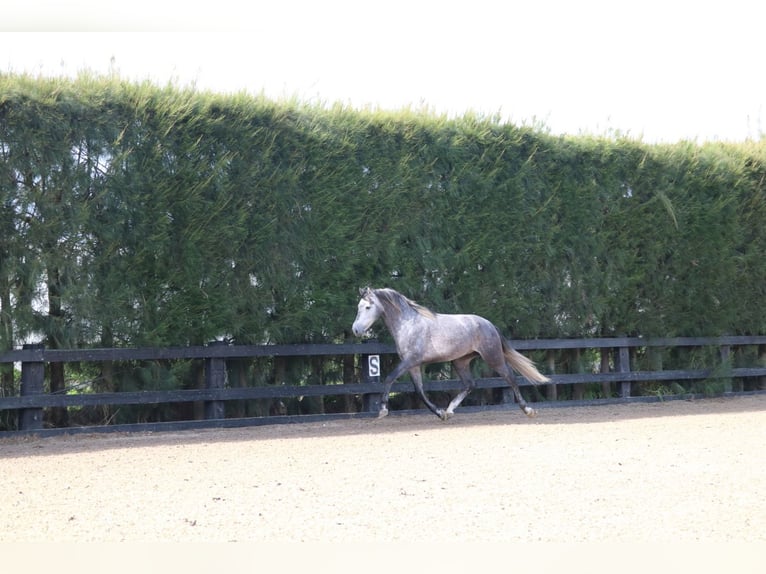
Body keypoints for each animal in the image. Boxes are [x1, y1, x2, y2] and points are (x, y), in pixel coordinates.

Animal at [354, 290, 552, 420]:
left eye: (368, 307)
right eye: (359, 307)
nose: (355, 330)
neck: (408, 324)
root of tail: (489, 324)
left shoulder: (410, 361)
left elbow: (389, 378)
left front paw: (382, 410)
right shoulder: (413, 365)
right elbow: (419, 390)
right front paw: (440, 413)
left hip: (493, 357)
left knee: (510, 377)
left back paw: (528, 410)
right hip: (460, 362)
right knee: (470, 384)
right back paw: (449, 410)